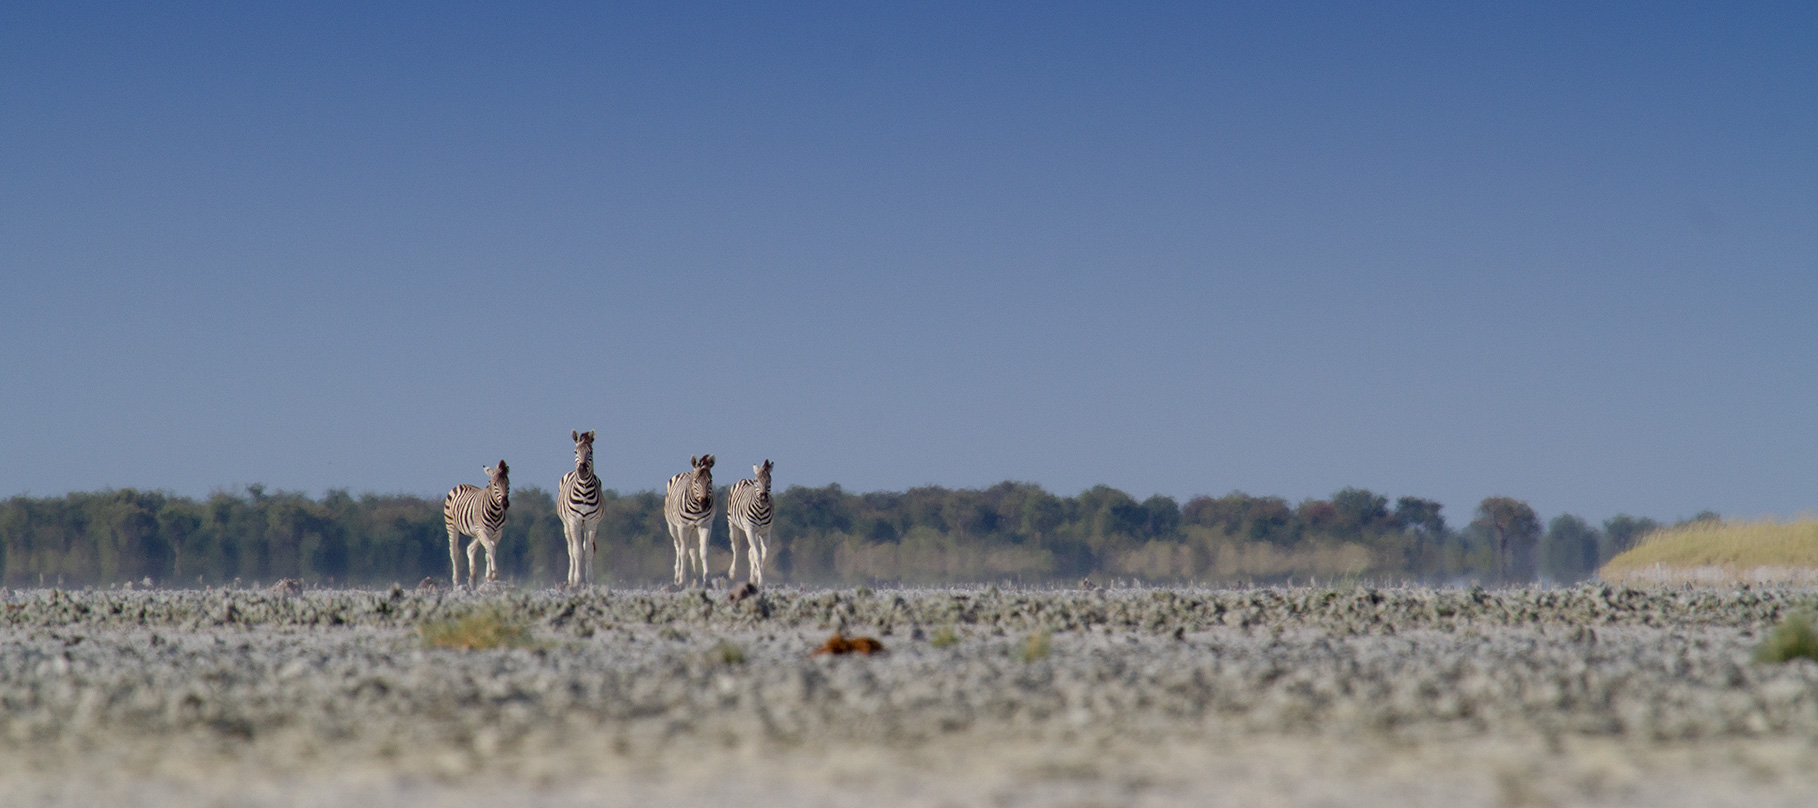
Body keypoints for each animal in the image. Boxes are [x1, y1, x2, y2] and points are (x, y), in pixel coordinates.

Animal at [444, 460, 510, 588]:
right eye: (495, 484)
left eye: (508, 483)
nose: (505, 503)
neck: (495, 511)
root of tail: (461, 484)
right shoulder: (483, 531)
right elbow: (491, 550)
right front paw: (494, 574)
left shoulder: (497, 534)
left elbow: (489, 552)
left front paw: (489, 578)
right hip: (452, 526)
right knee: (454, 552)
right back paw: (456, 582)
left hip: (476, 532)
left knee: (470, 549)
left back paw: (472, 579)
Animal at [558, 430, 603, 589]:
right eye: (575, 451)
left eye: (591, 452)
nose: (582, 470)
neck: (584, 493)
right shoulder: (574, 521)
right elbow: (576, 552)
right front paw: (577, 580)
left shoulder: (591, 523)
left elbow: (588, 551)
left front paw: (589, 579)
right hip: (567, 525)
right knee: (571, 549)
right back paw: (570, 579)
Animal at [664, 454, 715, 587]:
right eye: (696, 481)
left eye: (710, 481)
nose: (704, 503)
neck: (696, 508)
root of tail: (685, 472)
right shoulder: (683, 527)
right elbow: (683, 552)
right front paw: (682, 580)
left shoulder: (705, 526)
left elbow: (703, 552)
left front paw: (707, 581)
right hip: (673, 527)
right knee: (679, 547)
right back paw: (677, 576)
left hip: (694, 530)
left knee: (693, 551)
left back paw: (695, 580)